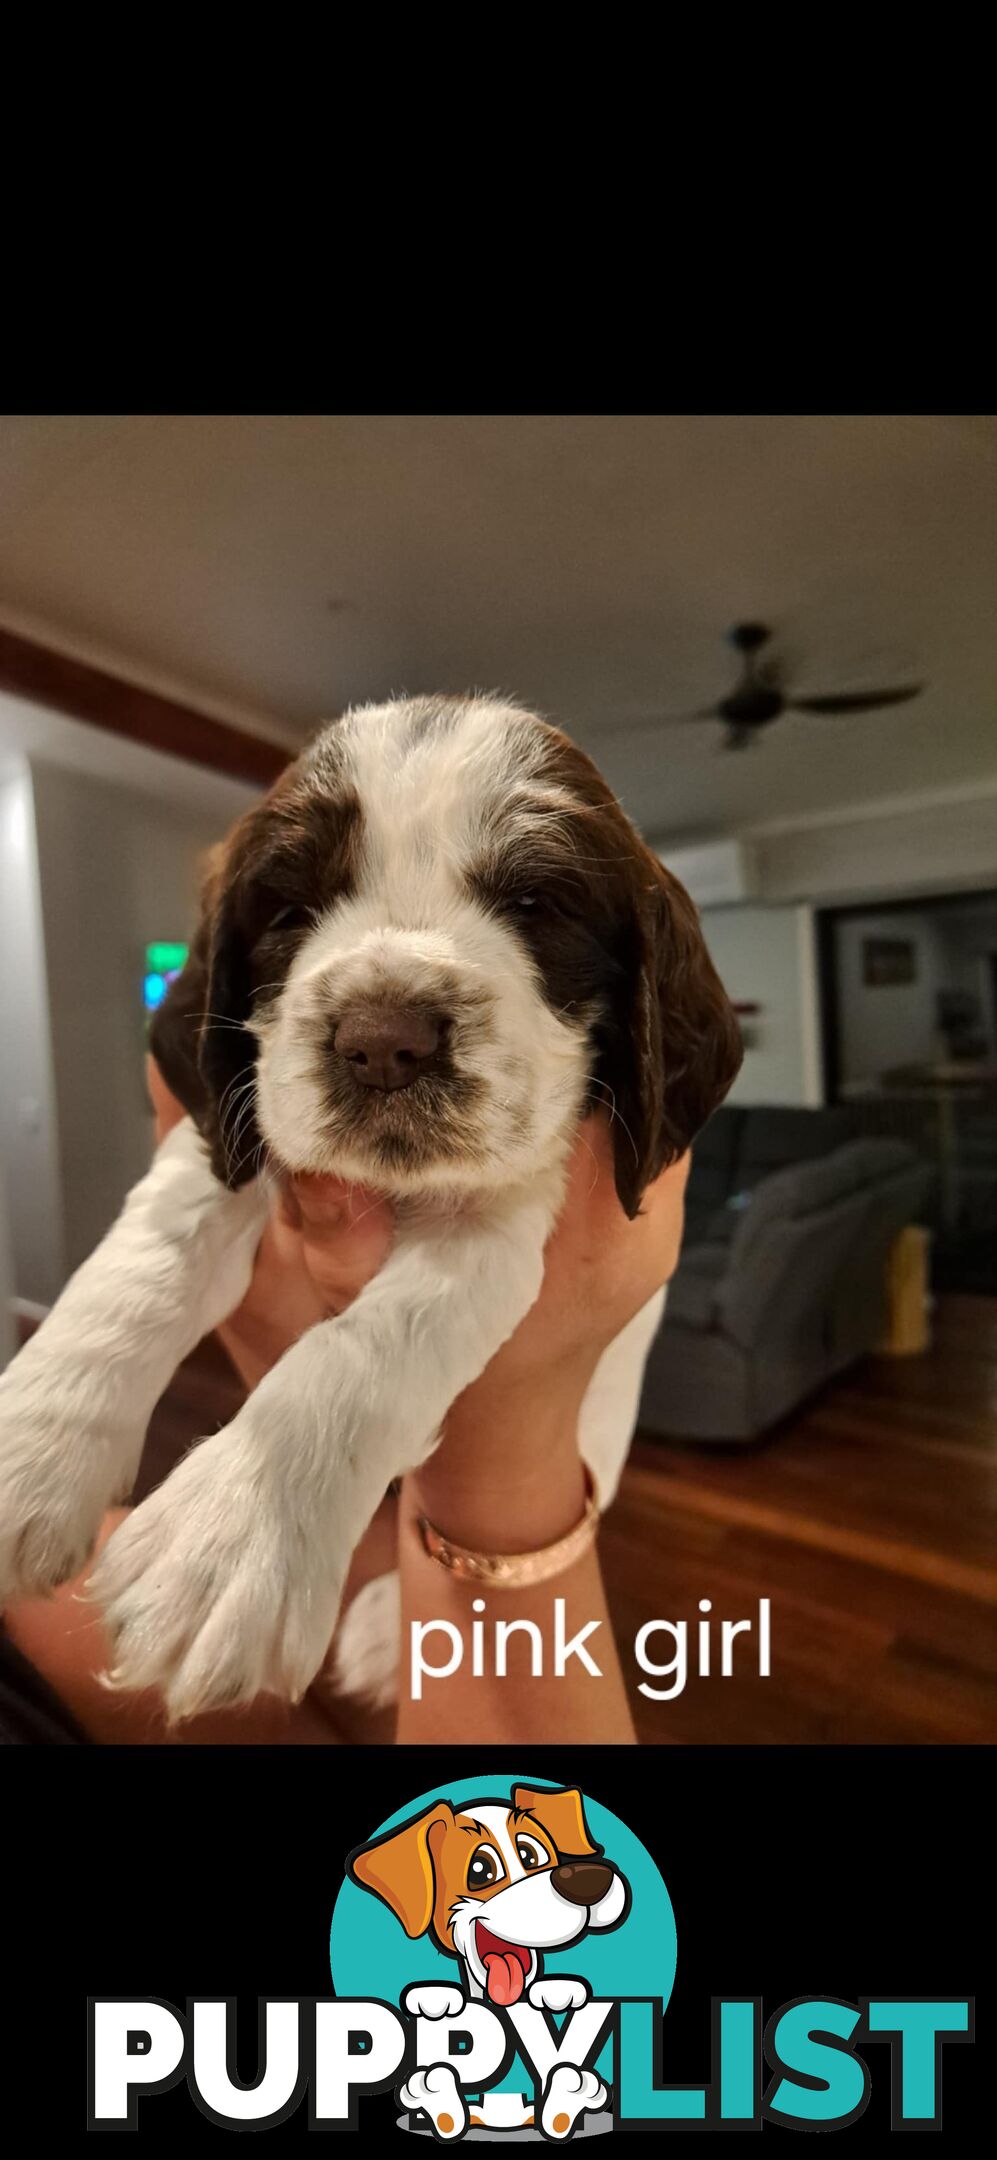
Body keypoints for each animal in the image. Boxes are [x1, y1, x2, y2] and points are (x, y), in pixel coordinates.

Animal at [0, 695, 738, 1719]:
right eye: (289, 909)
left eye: (535, 906)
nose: (384, 1042)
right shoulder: (232, 1123)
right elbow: (149, 1253)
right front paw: (35, 1447)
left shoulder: (504, 1216)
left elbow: (367, 1348)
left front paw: (229, 1536)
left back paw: (392, 1628)